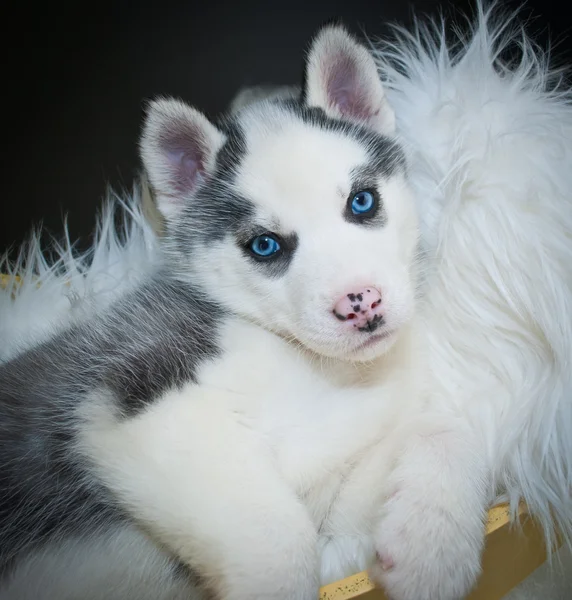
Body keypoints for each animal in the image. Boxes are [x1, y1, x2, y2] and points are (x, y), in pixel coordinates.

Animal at [0, 21, 488, 600]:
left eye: (362, 202)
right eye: (265, 246)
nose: (361, 303)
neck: (322, 369)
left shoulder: (343, 508)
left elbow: (446, 430)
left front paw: (433, 543)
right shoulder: (138, 398)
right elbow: (280, 545)